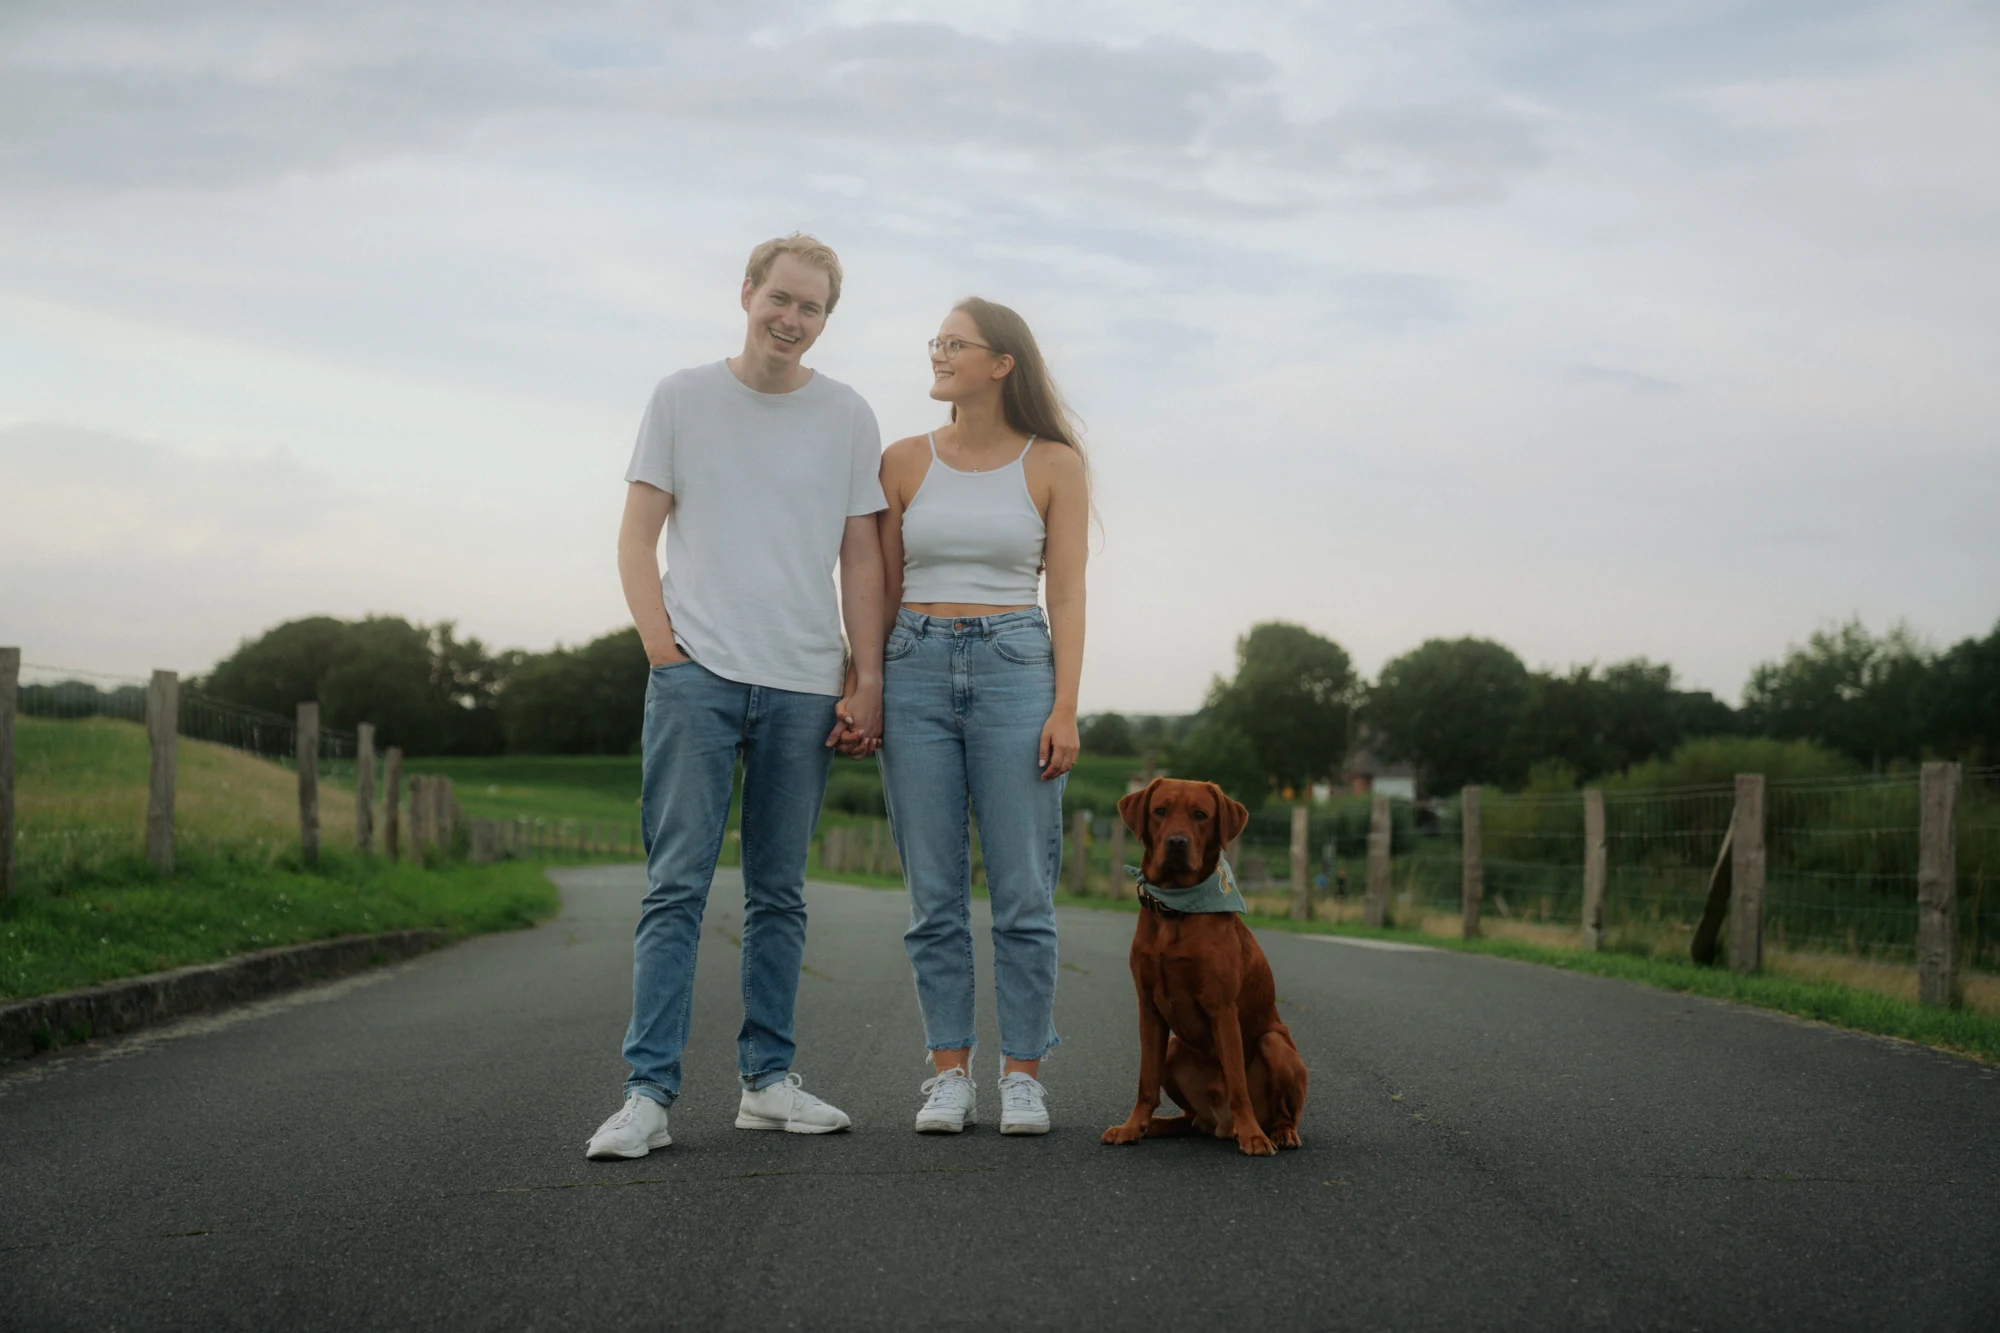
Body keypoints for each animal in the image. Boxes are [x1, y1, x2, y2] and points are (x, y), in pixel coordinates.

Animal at [1104, 780, 1304, 1152]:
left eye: (1200, 815)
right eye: (1160, 811)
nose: (1176, 843)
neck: (1175, 910)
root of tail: (1220, 1124)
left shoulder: (1222, 1008)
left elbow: (1238, 1083)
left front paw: (1252, 1136)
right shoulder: (1148, 1007)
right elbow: (1146, 1082)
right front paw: (1132, 1126)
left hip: (1275, 1043)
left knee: (1283, 1112)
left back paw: (1277, 1132)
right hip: (1174, 1050)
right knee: (1189, 1118)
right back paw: (1156, 1125)